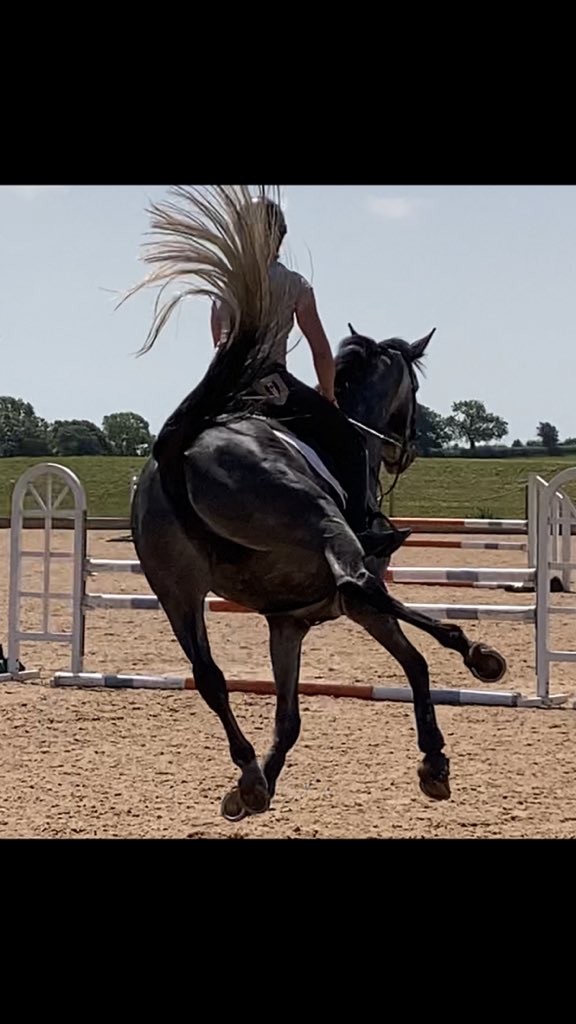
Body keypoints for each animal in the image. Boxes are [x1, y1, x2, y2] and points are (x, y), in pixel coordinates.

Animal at [127, 185, 506, 823]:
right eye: (415, 392)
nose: (405, 451)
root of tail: (186, 446)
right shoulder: (348, 605)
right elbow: (411, 661)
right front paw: (435, 757)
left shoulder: (288, 624)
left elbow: (289, 716)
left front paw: (258, 784)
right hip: (317, 524)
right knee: (356, 582)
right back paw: (473, 650)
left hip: (174, 589)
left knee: (208, 676)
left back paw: (248, 770)